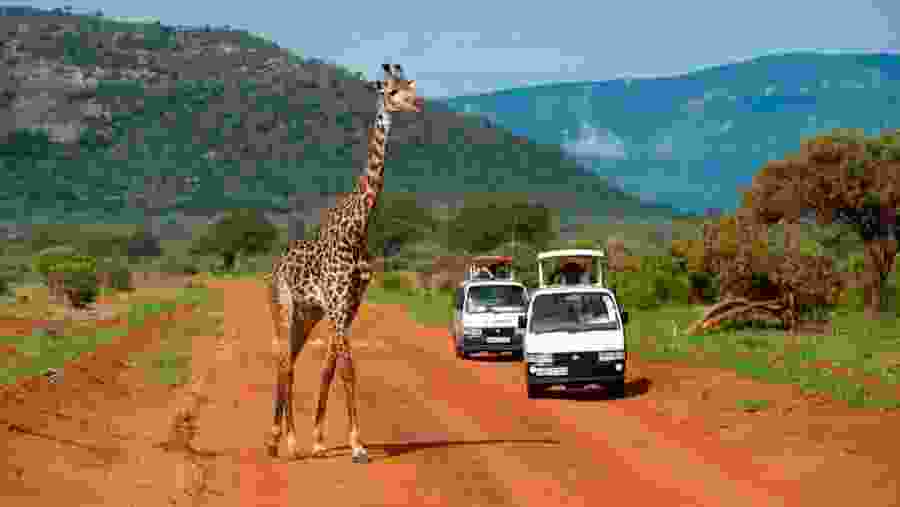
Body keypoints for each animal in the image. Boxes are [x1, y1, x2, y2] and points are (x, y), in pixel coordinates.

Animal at [264, 64, 423, 464]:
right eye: (391, 92)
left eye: (410, 87)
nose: (417, 105)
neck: (358, 227)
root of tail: (274, 269)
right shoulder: (337, 304)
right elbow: (348, 369)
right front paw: (357, 446)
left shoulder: (349, 304)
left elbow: (330, 367)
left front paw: (321, 440)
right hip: (283, 306)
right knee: (284, 362)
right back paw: (287, 443)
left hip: (307, 314)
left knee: (289, 362)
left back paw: (277, 440)